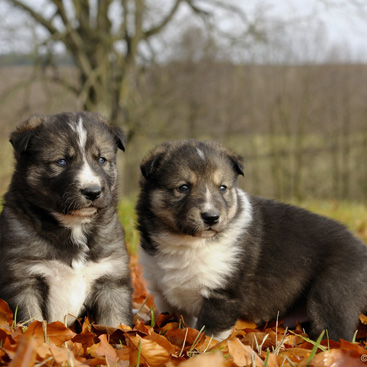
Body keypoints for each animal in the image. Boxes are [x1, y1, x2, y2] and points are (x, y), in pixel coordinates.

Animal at [0, 112, 133, 328]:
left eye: (102, 159)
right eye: (62, 161)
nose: (93, 192)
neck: (74, 225)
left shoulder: (111, 279)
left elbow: (115, 324)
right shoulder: (22, 279)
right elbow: (32, 323)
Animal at [137, 140, 367, 342]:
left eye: (222, 188)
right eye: (183, 187)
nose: (211, 217)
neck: (187, 243)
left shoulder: (223, 295)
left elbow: (207, 337)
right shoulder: (164, 295)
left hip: (332, 296)